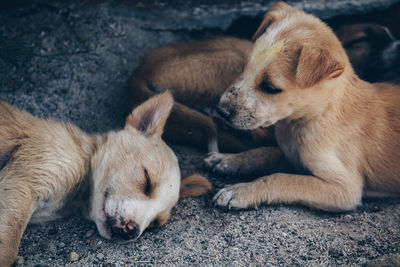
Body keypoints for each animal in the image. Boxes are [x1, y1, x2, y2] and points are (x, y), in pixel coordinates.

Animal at [206, 1, 400, 211]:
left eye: (271, 87)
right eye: (244, 68)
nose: (220, 110)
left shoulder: (343, 188)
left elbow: (279, 178)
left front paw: (240, 191)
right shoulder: (290, 154)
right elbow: (264, 152)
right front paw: (228, 159)